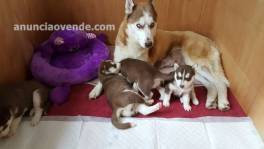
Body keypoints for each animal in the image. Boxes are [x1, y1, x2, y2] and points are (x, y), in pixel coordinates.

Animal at [89, 0, 230, 110]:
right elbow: (102, 76)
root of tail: (207, 39)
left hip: (195, 61)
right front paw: (95, 90)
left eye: (152, 25)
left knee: (220, 82)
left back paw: (223, 103)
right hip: (190, 68)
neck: (133, 45)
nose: (149, 44)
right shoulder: (117, 61)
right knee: (211, 84)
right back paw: (211, 101)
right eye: (139, 25)